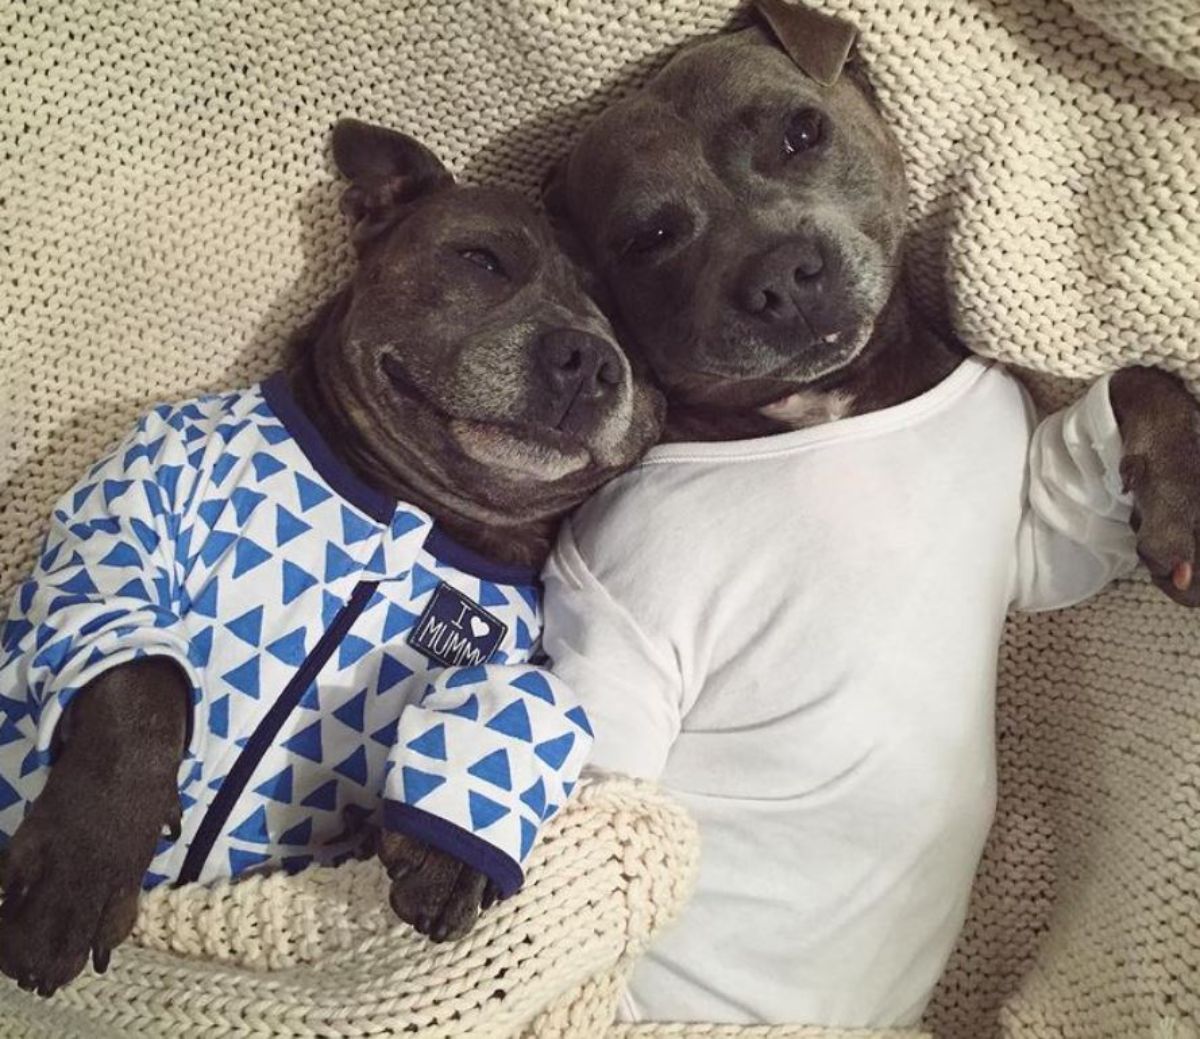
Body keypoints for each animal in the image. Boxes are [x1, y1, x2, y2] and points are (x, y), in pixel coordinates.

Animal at [0, 117, 662, 993]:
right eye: (481, 259)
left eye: (631, 329)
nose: (590, 357)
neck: (410, 507)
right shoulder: (124, 524)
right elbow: (140, 682)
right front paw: (80, 866)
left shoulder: (524, 645)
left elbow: (529, 701)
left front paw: (453, 851)